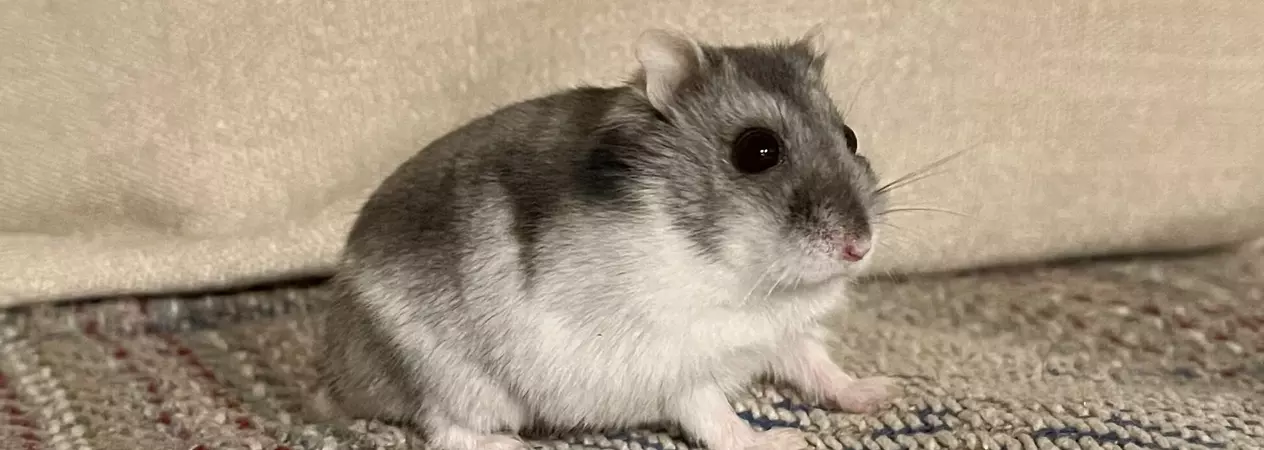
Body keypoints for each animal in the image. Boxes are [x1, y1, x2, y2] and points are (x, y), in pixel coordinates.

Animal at [315, 28, 899, 450]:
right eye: (757, 150)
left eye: (850, 137)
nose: (860, 246)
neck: (743, 275)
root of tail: (341, 381)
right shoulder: (674, 366)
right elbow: (715, 417)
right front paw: (784, 440)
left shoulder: (786, 333)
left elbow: (819, 366)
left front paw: (881, 392)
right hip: (451, 380)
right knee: (445, 429)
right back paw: (511, 446)